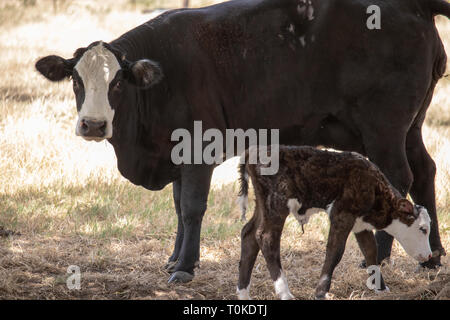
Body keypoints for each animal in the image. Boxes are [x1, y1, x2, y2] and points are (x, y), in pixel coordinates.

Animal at [36, 0, 450, 282]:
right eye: (76, 80)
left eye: (118, 82)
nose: (93, 124)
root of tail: (414, 4)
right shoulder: (177, 158)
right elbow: (178, 208)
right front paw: (175, 258)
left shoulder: (197, 149)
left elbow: (192, 208)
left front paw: (185, 267)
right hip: (409, 128)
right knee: (424, 172)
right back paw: (433, 255)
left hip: (385, 129)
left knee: (398, 179)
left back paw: (378, 257)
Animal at [239, 146, 432, 300]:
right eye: (423, 229)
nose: (430, 255)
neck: (375, 189)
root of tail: (254, 152)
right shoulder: (342, 215)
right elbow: (335, 251)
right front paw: (321, 291)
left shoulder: (360, 224)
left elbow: (370, 251)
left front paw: (381, 288)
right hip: (276, 205)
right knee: (266, 237)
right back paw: (285, 293)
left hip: (263, 206)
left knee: (249, 234)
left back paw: (243, 293)